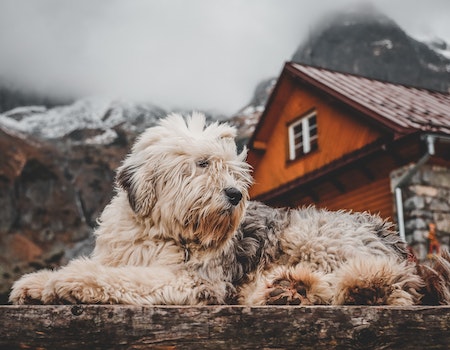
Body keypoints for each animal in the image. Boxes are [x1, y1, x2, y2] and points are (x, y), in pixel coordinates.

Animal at [7, 113, 450, 304]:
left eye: (234, 171)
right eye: (203, 164)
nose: (236, 195)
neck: (158, 231)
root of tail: (393, 240)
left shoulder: (194, 280)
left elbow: (124, 279)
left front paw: (71, 280)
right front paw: (36, 283)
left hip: (310, 234)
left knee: (383, 285)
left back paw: (348, 286)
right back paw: (285, 289)